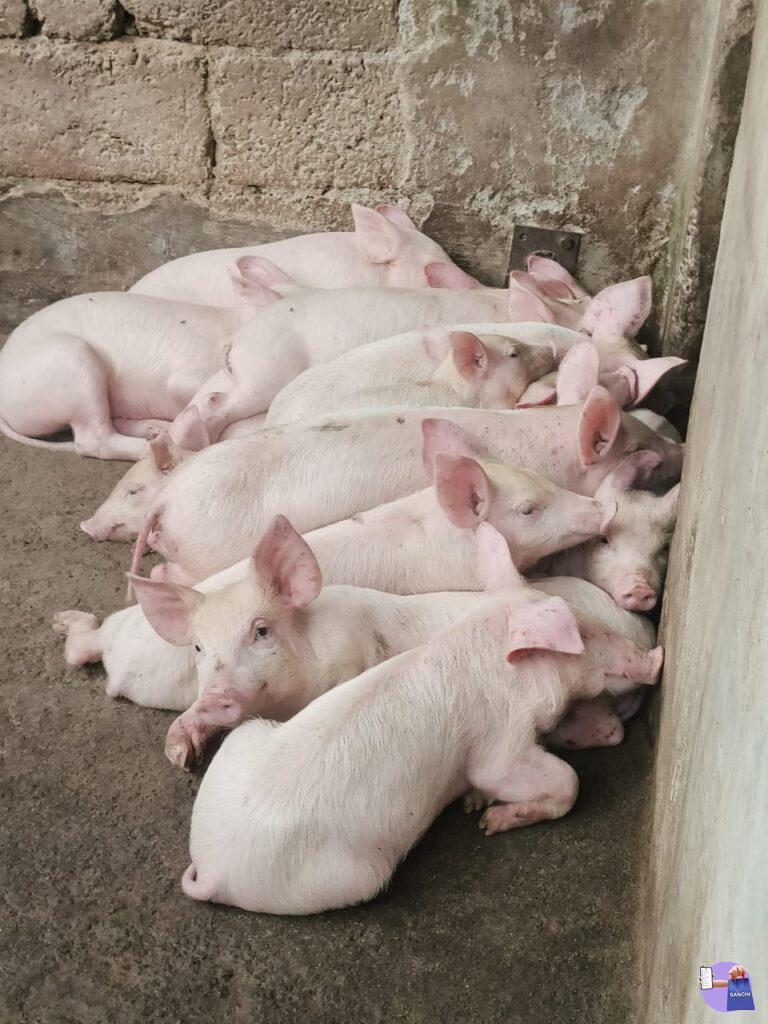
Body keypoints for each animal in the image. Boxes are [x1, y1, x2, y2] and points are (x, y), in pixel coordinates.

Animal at [179, 523, 663, 914]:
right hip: (356, 877)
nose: (657, 656)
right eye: (584, 635)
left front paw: (477, 807)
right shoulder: (500, 741)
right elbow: (559, 780)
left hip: (244, 738)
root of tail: (212, 867)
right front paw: (488, 822)